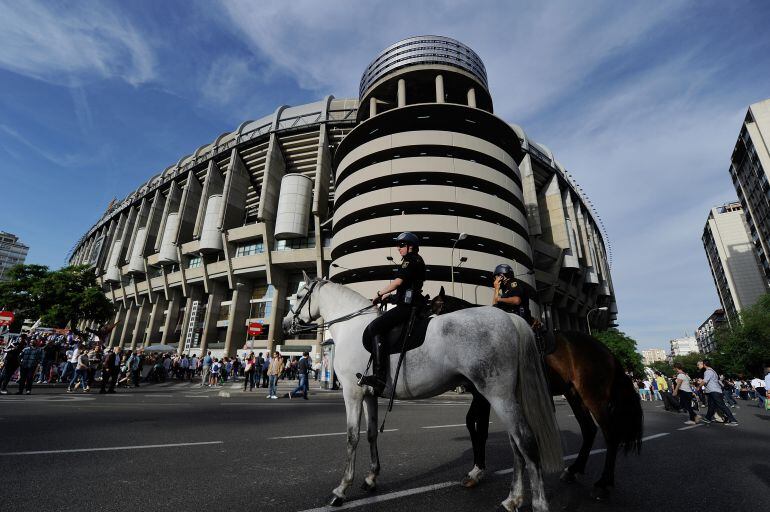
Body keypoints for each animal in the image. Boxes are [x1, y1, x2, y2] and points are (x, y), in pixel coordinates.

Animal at [282, 276, 560, 512]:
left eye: (299, 295)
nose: (285, 324)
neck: (352, 326)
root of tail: (509, 319)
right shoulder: (369, 394)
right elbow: (371, 434)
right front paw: (371, 478)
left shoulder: (352, 392)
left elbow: (352, 438)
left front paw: (341, 490)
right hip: (503, 397)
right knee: (515, 444)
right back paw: (513, 498)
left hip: (498, 395)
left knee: (525, 440)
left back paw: (537, 503)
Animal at [428, 288, 640, 500]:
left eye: (437, 309)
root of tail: (607, 352)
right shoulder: (479, 396)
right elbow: (472, 424)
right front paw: (476, 470)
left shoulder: (485, 395)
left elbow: (480, 428)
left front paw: (477, 471)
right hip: (574, 395)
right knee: (589, 430)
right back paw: (573, 470)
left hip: (594, 395)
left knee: (611, 434)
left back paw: (603, 483)